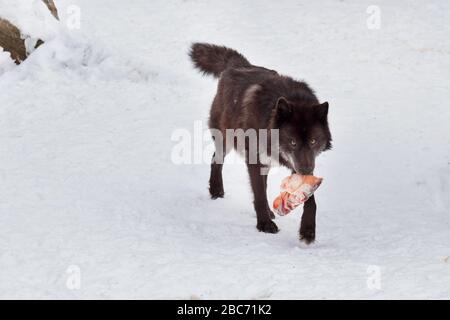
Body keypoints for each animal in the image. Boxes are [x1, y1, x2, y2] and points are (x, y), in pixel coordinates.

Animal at [188, 42, 332, 242]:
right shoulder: (254, 159)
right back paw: (216, 190)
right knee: (216, 160)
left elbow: (310, 200)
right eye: (292, 142)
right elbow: (259, 195)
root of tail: (239, 65)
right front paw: (264, 225)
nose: (306, 170)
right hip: (226, 139)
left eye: (313, 141)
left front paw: (308, 230)